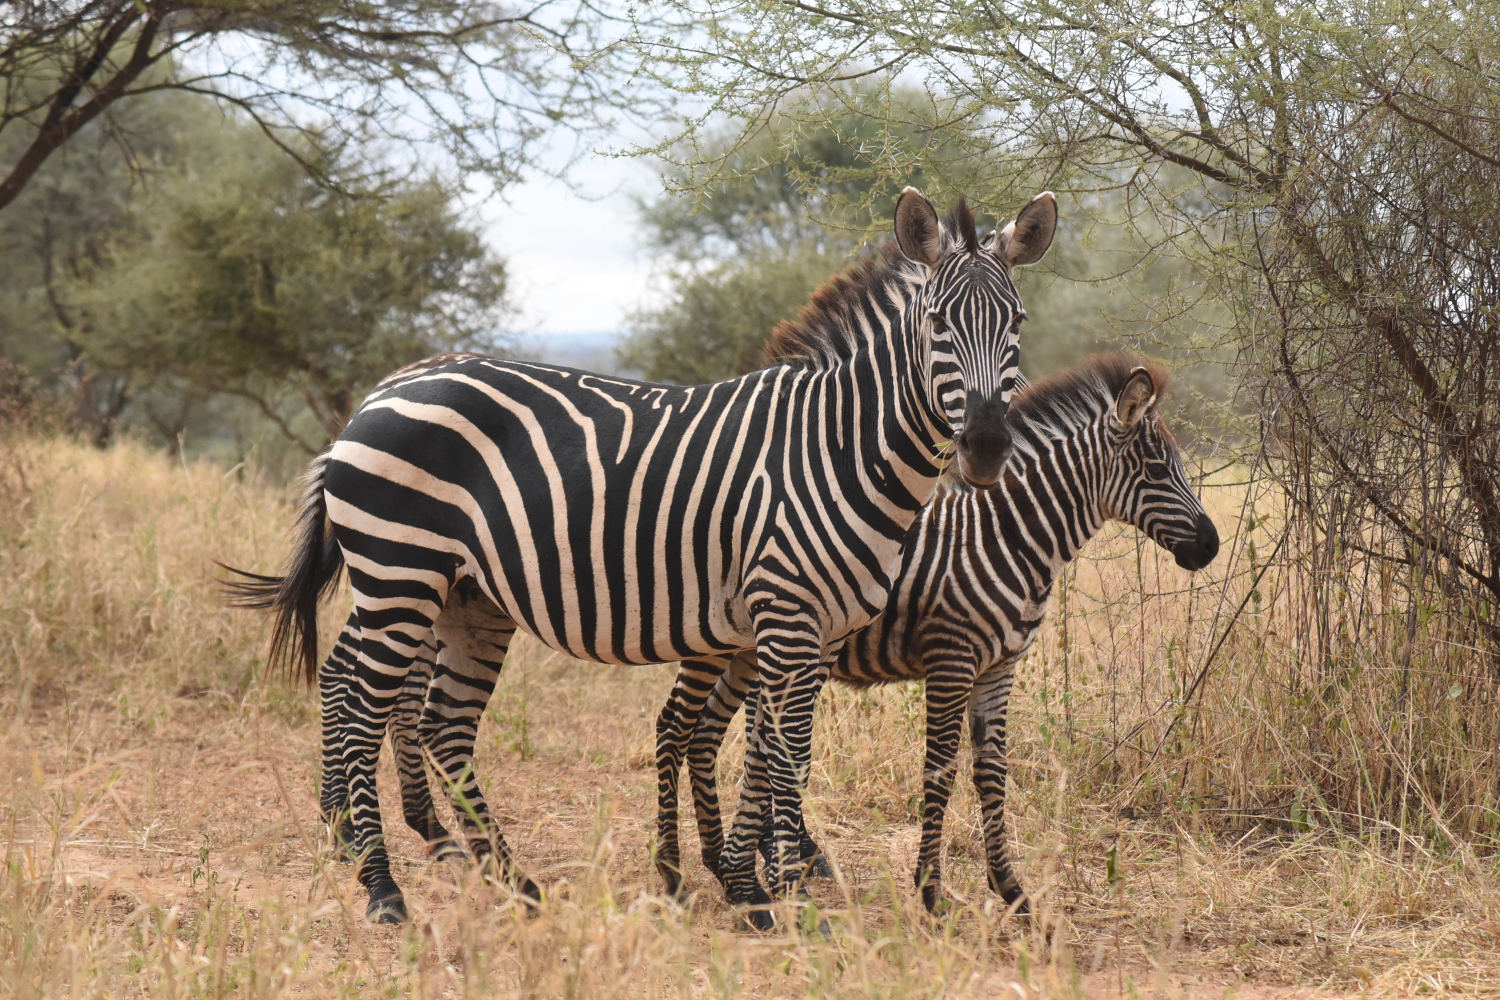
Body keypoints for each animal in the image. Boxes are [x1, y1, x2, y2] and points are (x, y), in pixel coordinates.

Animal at [228, 189, 1062, 929]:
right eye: (938, 324)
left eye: (1018, 323)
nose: (987, 448)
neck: (837, 445)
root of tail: (377, 396)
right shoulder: (787, 618)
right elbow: (786, 751)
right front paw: (786, 893)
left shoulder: (813, 632)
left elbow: (768, 748)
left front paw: (754, 883)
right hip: (400, 575)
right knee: (363, 701)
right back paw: (379, 883)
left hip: (463, 596)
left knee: (437, 721)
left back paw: (506, 878)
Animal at [657, 353, 1218, 917]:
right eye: (1156, 470)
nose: (1211, 546)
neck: (1006, 540)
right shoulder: (952, 660)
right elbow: (940, 771)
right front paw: (929, 889)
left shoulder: (999, 668)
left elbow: (992, 774)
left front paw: (1011, 890)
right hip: (716, 641)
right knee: (678, 726)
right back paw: (685, 874)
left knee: (707, 732)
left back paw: (724, 864)